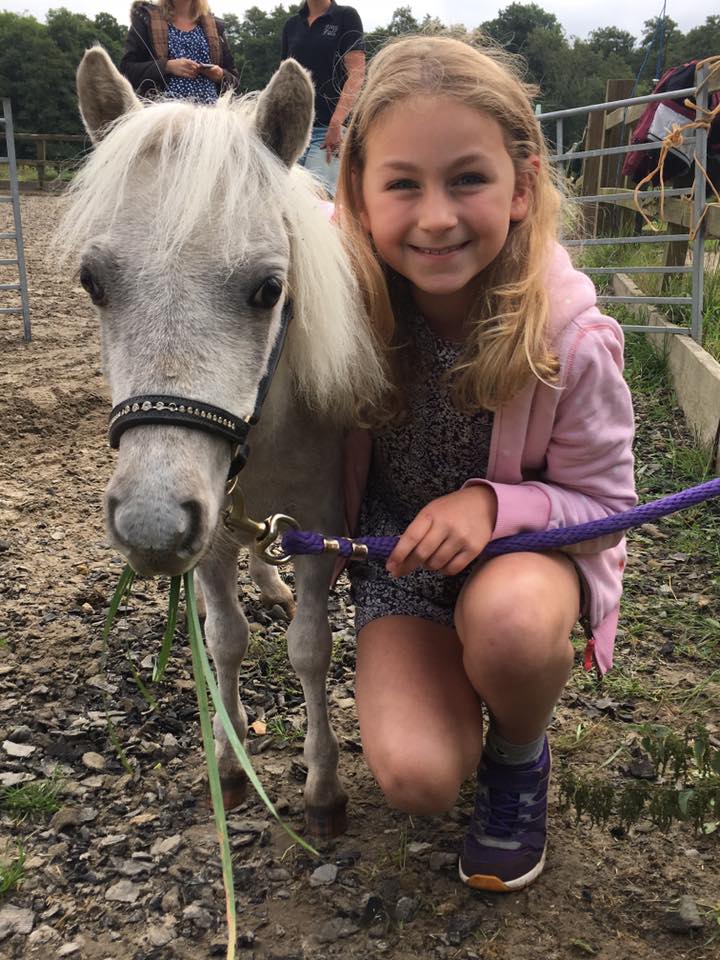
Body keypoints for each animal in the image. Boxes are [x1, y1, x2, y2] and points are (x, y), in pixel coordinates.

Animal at [58, 47, 387, 838]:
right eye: (92, 282)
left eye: (269, 290)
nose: (149, 526)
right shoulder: (206, 532)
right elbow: (225, 639)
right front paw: (232, 765)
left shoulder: (320, 531)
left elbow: (310, 649)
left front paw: (323, 785)